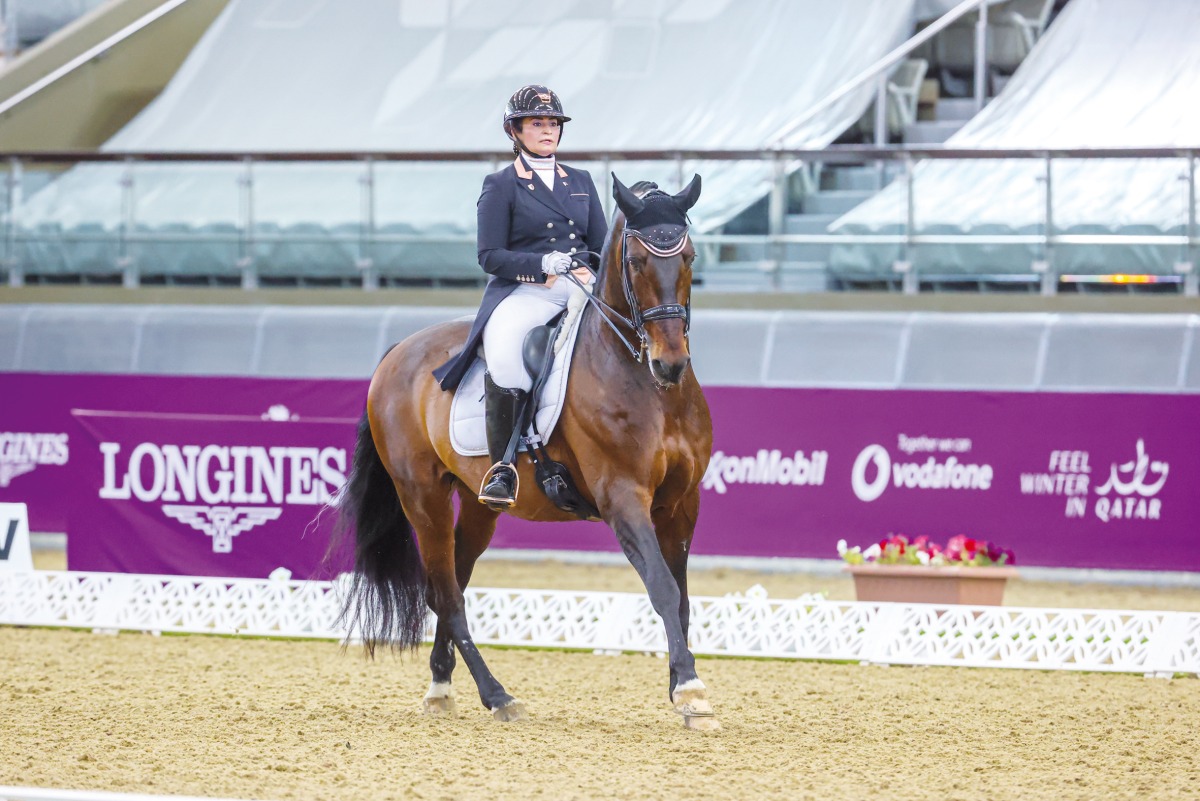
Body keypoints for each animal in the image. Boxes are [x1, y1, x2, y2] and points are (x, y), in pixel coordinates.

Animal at [333, 172, 715, 729]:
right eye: (636, 262)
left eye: (688, 257)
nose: (670, 364)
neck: (647, 386)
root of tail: (397, 352)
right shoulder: (623, 498)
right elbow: (662, 586)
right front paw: (690, 690)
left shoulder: (682, 503)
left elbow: (683, 597)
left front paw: (682, 688)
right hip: (421, 496)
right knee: (445, 593)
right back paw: (497, 695)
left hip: (478, 504)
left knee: (453, 582)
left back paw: (441, 686)